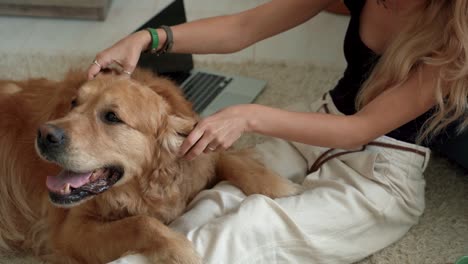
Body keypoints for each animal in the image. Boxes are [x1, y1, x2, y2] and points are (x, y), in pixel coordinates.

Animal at [0, 69, 300, 262]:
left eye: (111, 117)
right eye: (74, 103)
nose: (44, 135)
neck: (149, 186)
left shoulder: (200, 147)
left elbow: (227, 159)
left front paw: (281, 188)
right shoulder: (71, 231)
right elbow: (141, 223)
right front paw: (180, 250)